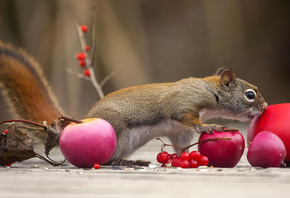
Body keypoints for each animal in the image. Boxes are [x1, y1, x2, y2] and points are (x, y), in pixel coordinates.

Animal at [0, 41, 268, 161]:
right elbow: (188, 117)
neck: (209, 89)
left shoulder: (178, 132)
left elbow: (180, 145)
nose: (264, 107)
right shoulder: (183, 104)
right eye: (250, 94)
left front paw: (183, 156)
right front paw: (209, 126)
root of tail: (79, 122)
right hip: (115, 129)